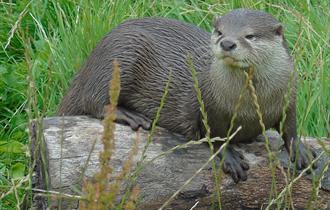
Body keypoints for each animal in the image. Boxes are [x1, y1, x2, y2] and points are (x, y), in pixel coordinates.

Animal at [58, 8, 316, 182]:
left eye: (250, 36)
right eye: (219, 32)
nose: (227, 43)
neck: (253, 104)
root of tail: (87, 65)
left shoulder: (288, 97)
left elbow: (290, 128)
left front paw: (301, 151)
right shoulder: (210, 107)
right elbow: (214, 135)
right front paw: (230, 157)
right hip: (120, 54)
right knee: (93, 99)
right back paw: (130, 115)